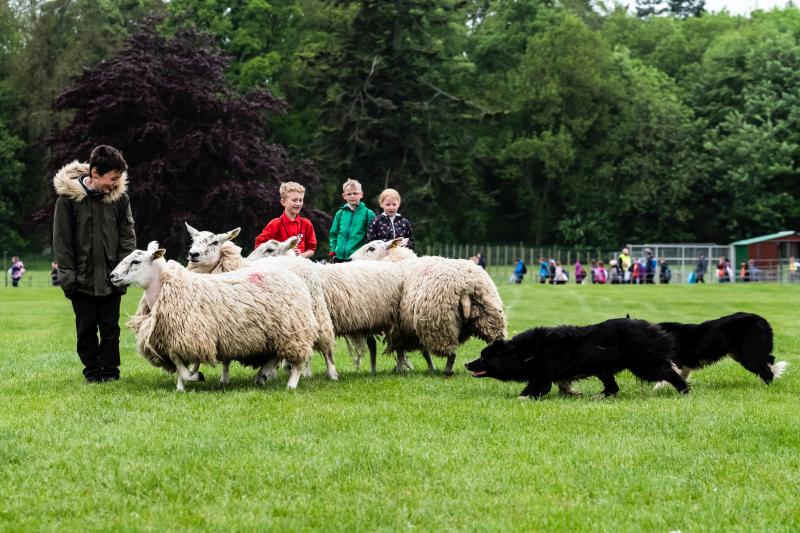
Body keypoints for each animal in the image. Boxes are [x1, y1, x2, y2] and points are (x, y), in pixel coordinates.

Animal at [111, 243, 318, 388]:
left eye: (136, 261)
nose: (112, 276)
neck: (164, 288)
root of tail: (294, 277)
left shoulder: (189, 336)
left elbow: (183, 367)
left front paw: (195, 377)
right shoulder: (174, 339)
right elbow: (179, 365)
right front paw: (181, 386)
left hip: (293, 329)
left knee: (297, 361)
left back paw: (290, 385)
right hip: (276, 332)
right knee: (275, 355)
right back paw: (263, 374)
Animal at [350, 237, 506, 374]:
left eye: (371, 248)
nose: (350, 259)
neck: (397, 261)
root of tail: (465, 285)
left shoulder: (401, 327)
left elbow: (405, 351)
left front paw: (401, 369)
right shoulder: (412, 326)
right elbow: (421, 351)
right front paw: (429, 368)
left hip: (440, 324)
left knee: (451, 353)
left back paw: (447, 371)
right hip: (489, 317)